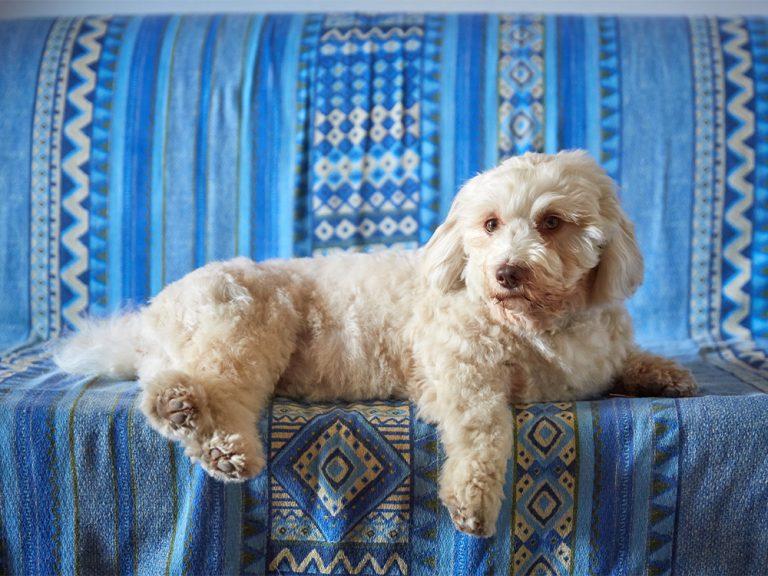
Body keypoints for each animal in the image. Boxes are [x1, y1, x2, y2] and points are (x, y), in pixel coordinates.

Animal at [57, 151, 696, 536]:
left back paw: (188, 418)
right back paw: (206, 430)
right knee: (213, 388)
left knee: (174, 389)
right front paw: (472, 499)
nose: (507, 272)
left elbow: (624, 360)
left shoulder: (594, 359)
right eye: (490, 224)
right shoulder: (459, 372)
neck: (538, 327)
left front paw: (664, 373)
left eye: (552, 223)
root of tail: (149, 319)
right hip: (249, 319)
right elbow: (488, 429)